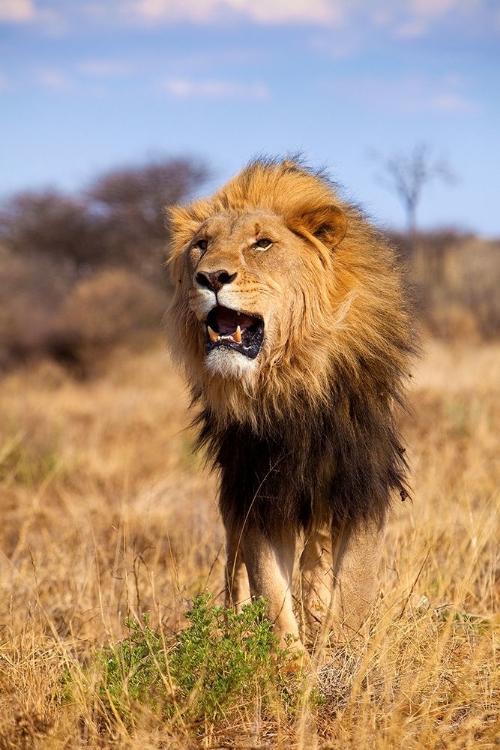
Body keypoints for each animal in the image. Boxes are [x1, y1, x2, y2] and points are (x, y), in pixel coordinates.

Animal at [164, 159, 414, 656]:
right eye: (201, 246)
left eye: (262, 244)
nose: (211, 277)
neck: (288, 385)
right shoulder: (257, 492)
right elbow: (271, 596)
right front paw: (291, 666)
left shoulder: (360, 484)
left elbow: (353, 590)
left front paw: (340, 658)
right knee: (236, 574)